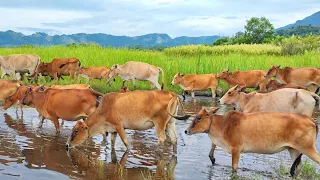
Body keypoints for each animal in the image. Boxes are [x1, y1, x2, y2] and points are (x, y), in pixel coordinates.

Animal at [185, 107, 320, 177]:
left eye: (199, 118)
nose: (186, 131)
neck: (223, 124)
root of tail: (310, 119)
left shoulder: (236, 150)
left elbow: (234, 168)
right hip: (293, 150)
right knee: (297, 169)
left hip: (308, 149)